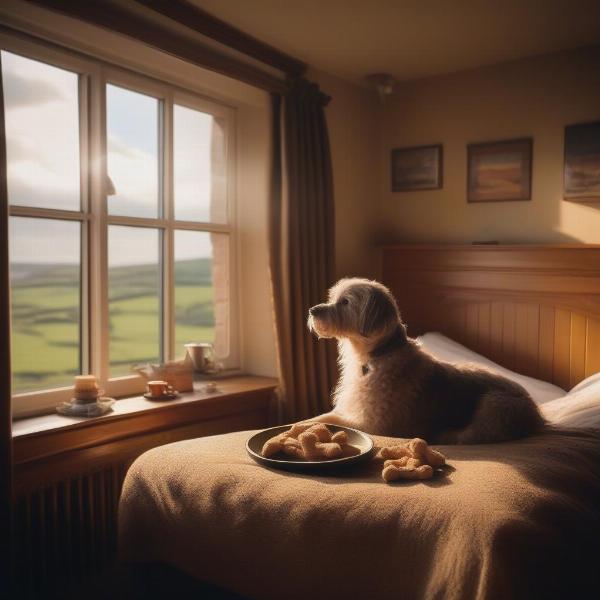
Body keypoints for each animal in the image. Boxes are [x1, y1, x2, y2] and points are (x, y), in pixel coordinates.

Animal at [308, 278, 548, 442]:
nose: (312, 310)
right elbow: (323, 416)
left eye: (345, 302)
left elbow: (328, 420)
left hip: (494, 407)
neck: (379, 354)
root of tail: (538, 415)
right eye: (332, 299)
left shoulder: (375, 425)